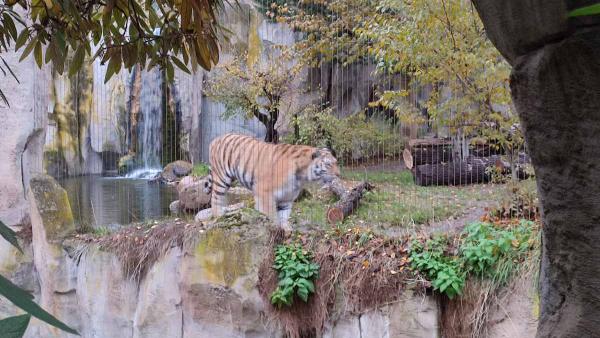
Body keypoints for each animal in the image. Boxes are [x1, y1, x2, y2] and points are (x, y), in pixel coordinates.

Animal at [207, 132, 340, 230]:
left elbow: (284, 215)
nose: (339, 174)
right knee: (215, 198)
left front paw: (286, 230)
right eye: (328, 164)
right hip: (221, 178)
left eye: (336, 162)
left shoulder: (286, 197)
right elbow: (271, 214)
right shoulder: (263, 191)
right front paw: (275, 227)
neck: (301, 177)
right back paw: (219, 216)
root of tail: (215, 139)